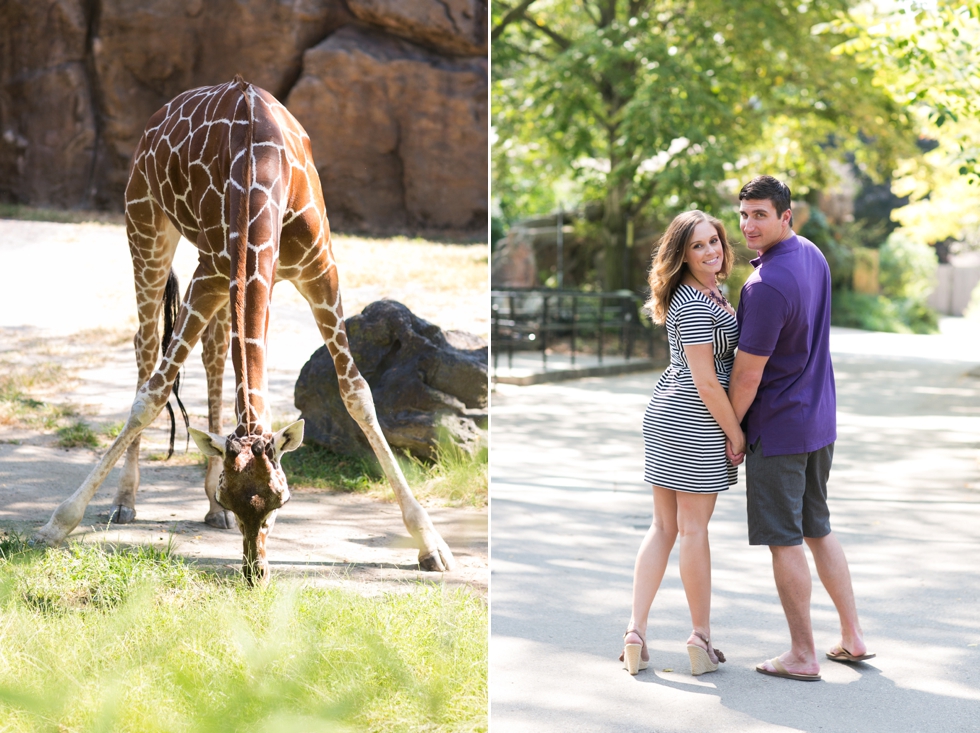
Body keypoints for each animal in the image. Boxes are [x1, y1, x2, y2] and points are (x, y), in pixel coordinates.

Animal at [31, 76, 456, 584]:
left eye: (280, 502)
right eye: (240, 498)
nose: (256, 573)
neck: (260, 173)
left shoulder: (321, 272)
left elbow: (357, 394)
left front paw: (431, 545)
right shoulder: (213, 272)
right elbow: (150, 397)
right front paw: (57, 523)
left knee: (213, 351)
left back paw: (207, 510)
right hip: (145, 226)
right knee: (146, 346)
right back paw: (127, 502)